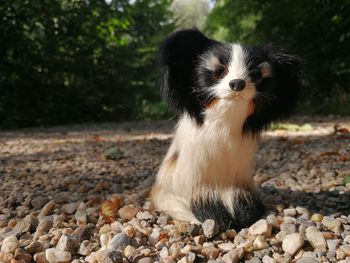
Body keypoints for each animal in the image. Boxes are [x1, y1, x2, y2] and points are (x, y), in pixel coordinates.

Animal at [150, 28, 300, 231]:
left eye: (256, 75)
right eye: (218, 71)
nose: (237, 83)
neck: (223, 127)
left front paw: (246, 213)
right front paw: (213, 214)